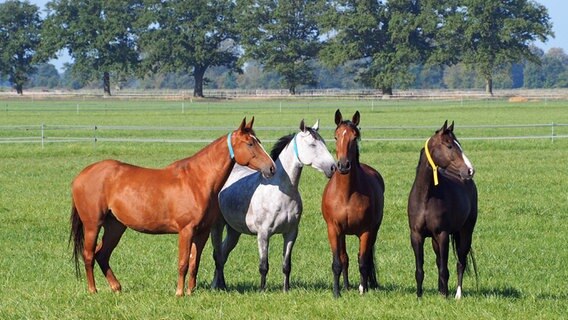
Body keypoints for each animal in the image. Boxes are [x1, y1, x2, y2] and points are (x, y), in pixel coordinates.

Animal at [67, 117, 276, 296]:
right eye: (250, 143)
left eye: (258, 141)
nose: (271, 168)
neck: (197, 181)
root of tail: (81, 175)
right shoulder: (186, 230)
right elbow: (183, 262)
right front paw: (179, 293)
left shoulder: (202, 232)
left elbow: (194, 263)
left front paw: (191, 292)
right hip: (93, 225)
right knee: (89, 255)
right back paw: (93, 290)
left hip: (115, 226)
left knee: (102, 255)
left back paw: (116, 287)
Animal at [212, 119, 338, 292]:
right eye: (312, 144)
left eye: (324, 143)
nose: (333, 167)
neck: (282, 193)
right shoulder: (263, 234)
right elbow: (263, 266)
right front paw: (261, 290)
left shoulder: (291, 233)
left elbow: (286, 265)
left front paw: (286, 289)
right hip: (218, 227)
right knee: (217, 255)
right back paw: (217, 286)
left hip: (234, 231)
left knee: (223, 254)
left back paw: (219, 284)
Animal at [322, 109, 384, 298]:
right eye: (336, 136)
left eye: (354, 137)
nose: (343, 165)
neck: (346, 194)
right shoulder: (333, 229)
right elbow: (337, 261)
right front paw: (336, 293)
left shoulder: (366, 231)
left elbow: (363, 261)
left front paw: (363, 290)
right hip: (342, 234)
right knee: (344, 258)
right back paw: (346, 286)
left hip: (374, 231)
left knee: (365, 259)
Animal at [408, 119, 480, 298]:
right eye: (449, 146)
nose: (470, 170)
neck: (426, 197)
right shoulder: (416, 235)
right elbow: (420, 269)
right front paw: (419, 296)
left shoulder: (443, 235)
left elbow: (444, 269)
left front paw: (446, 297)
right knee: (439, 260)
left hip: (465, 232)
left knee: (460, 262)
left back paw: (457, 295)